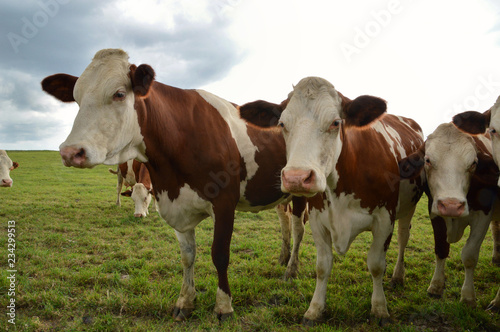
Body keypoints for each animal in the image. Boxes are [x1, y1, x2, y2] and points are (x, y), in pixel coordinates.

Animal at [42, 48, 308, 322]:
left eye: (119, 93)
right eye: (76, 98)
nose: (70, 152)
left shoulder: (224, 204)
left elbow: (220, 254)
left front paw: (224, 306)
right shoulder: (175, 203)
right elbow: (187, 256)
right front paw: (185, 301)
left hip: (302, 191)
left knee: (298, 229)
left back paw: (291, 270)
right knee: (284, 223)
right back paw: (282, 258)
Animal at [276, 76, 424, 324]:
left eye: (336, 122)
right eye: (282, 124)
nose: (296, 177)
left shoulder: (385, 219)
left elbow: (376, 265)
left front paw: (379, 308)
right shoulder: (317, 220)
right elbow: (322, 266)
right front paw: (315, 309)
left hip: (409, 206)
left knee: (404, 237)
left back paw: (398, 276)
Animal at [398, 120, 500, 310]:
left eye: (473, 163)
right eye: (428, 160)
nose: (452, 205)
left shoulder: (483, 214)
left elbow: (469, 255)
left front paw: (468, 296)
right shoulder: (435, 210)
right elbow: (441, 248)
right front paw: (436, 286)